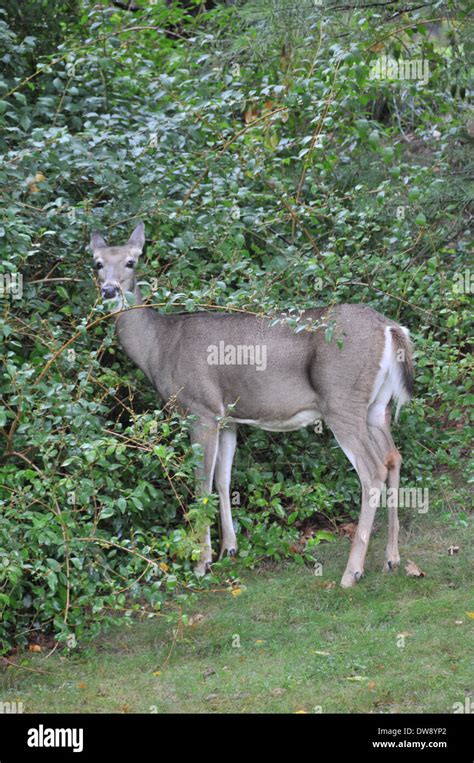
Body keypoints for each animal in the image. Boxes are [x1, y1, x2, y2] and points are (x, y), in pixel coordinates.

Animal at [90, 222, 412, 592]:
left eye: (131, 261)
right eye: (97, 263)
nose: (109, 290)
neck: (159, 347)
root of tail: (390, 328)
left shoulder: (200, 408)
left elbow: (201, 484)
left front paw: (202, 563)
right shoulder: (228, 417)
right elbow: (223, 480)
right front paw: (229, 549)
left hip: (341, 400)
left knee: (371, 470)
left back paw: (352, 572)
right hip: (377, 405)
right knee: (393, 457)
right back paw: (391, 558)